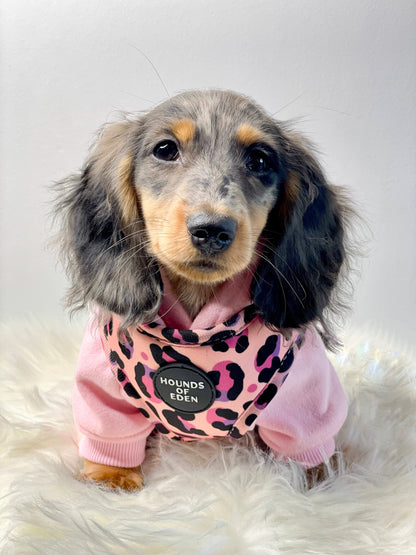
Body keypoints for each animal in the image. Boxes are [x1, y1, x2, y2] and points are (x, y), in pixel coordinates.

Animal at [56, 90, 352, 490]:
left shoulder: (306, 395)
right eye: (165, 149)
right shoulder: (101, 389)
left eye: (260, 159)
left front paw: (321, 479)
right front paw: (109, 480)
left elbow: (307, 442)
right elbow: (110, 430)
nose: (212, 230)